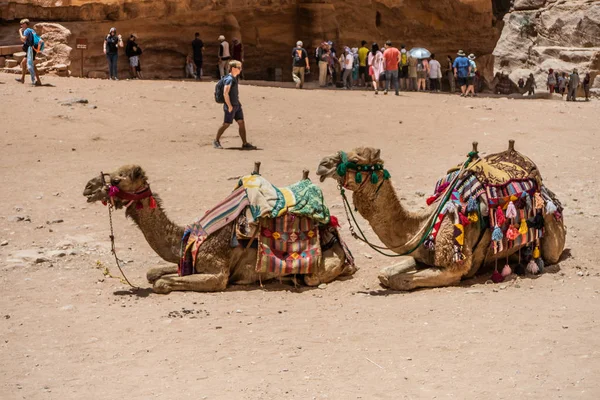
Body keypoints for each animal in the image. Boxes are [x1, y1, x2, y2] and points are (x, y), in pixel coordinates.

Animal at [84, 163, 356, 294]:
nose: (87, 188)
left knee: (312, 277)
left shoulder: (217, 274)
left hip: (321, 267)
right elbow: (153, 273)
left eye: (117, 179)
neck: (190, 236)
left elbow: (160, 283)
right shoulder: (189, 261)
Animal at [318, 141, 568, 290]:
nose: (322, 164)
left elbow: (402, 280)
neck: (423, 223)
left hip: (551, 234)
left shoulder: (454, 267)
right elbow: (385, 274)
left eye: (356, 160)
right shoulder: (420, 254)